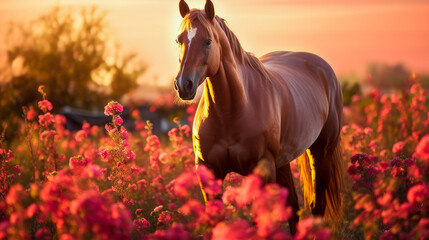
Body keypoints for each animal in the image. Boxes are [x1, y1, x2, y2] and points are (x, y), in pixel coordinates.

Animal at [172, 0, 342, 233]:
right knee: (293, 207)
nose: (183, 85)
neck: (231, 112)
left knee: (317, 207)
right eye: (178, 40)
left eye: (207, 41)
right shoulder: (209, 173)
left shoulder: (262, 172)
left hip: (320, 153)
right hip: (282, 162)